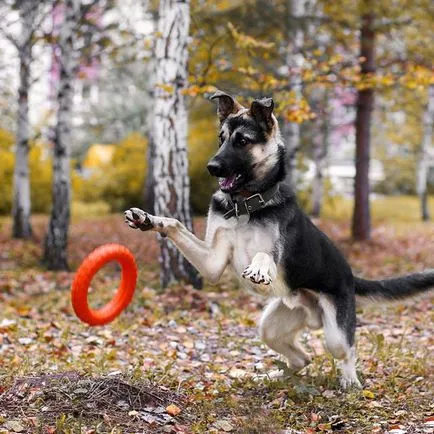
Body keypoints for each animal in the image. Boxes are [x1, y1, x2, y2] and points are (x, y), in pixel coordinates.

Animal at [125, 90, 434, 386]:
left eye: (242, 141)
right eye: (221, 139)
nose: (211, 167)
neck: (246, 206)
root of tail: (349, 275)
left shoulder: (273, 250)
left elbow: (264, 254)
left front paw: (259, 267)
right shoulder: (212, 262)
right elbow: (175, 223)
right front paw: (149, 219)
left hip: (334, 330)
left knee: (347, 350)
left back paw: (350, 380)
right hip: (271, 326)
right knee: (302, 358)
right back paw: (273, 376)